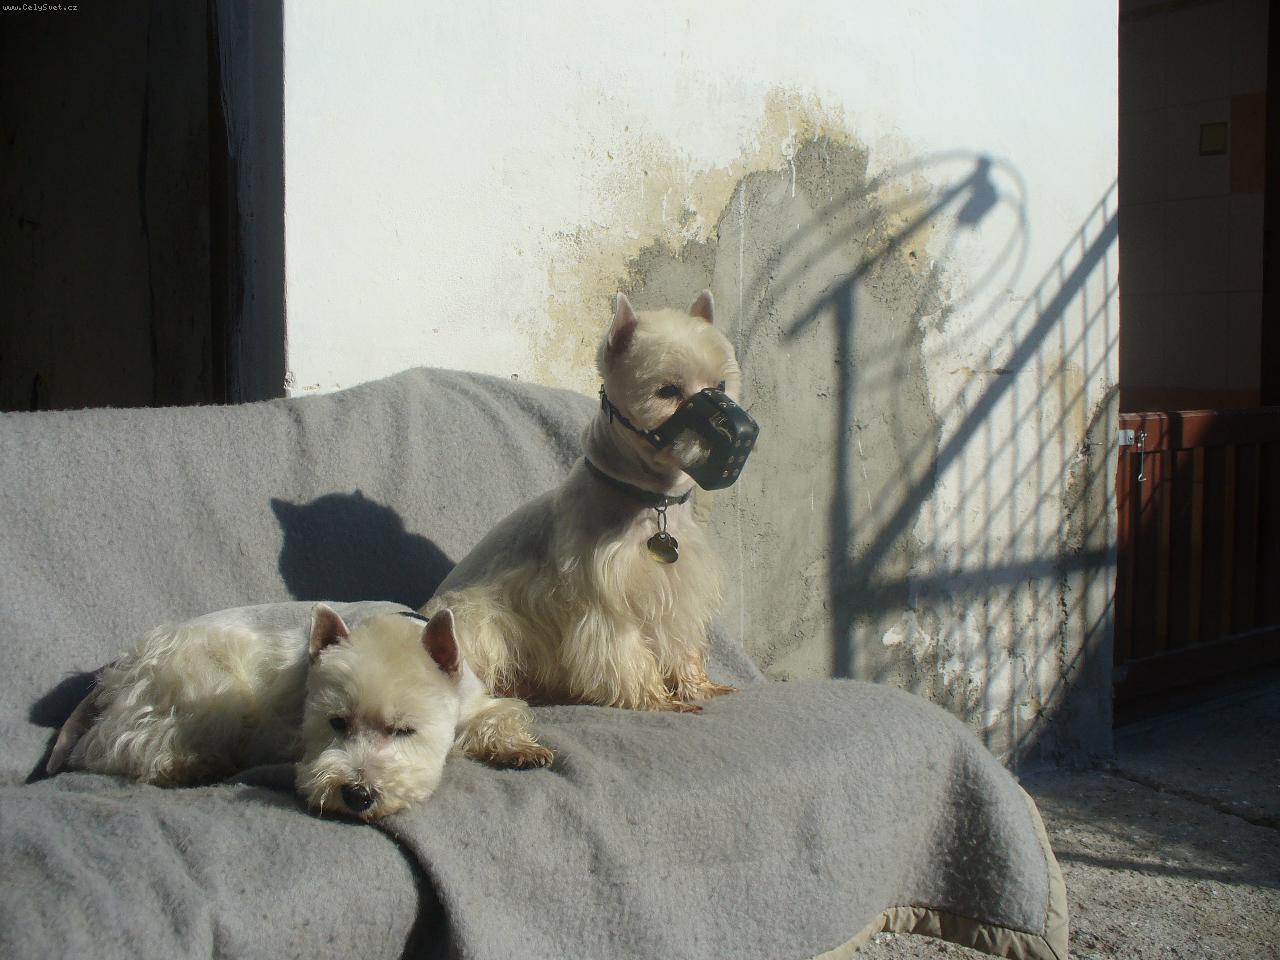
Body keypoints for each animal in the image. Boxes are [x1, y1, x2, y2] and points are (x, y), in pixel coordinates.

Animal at [49, 601, 551, 819]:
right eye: (336, 722)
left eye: (405, 730)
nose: (357, 794)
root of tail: (121, 668)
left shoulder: (474, 700)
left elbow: (499, 716)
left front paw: (521, 750)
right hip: (204, 685)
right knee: (117, 746)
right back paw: (189, 764)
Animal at [422, 291, 758, 712]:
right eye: (667, 391)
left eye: (722, 385)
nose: (742, 434)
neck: (652, 502)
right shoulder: (605, 600)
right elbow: (625, 651)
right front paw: (652, 697)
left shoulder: (678, 591)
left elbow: (680, 642)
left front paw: (696, 685)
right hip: (475, 620)